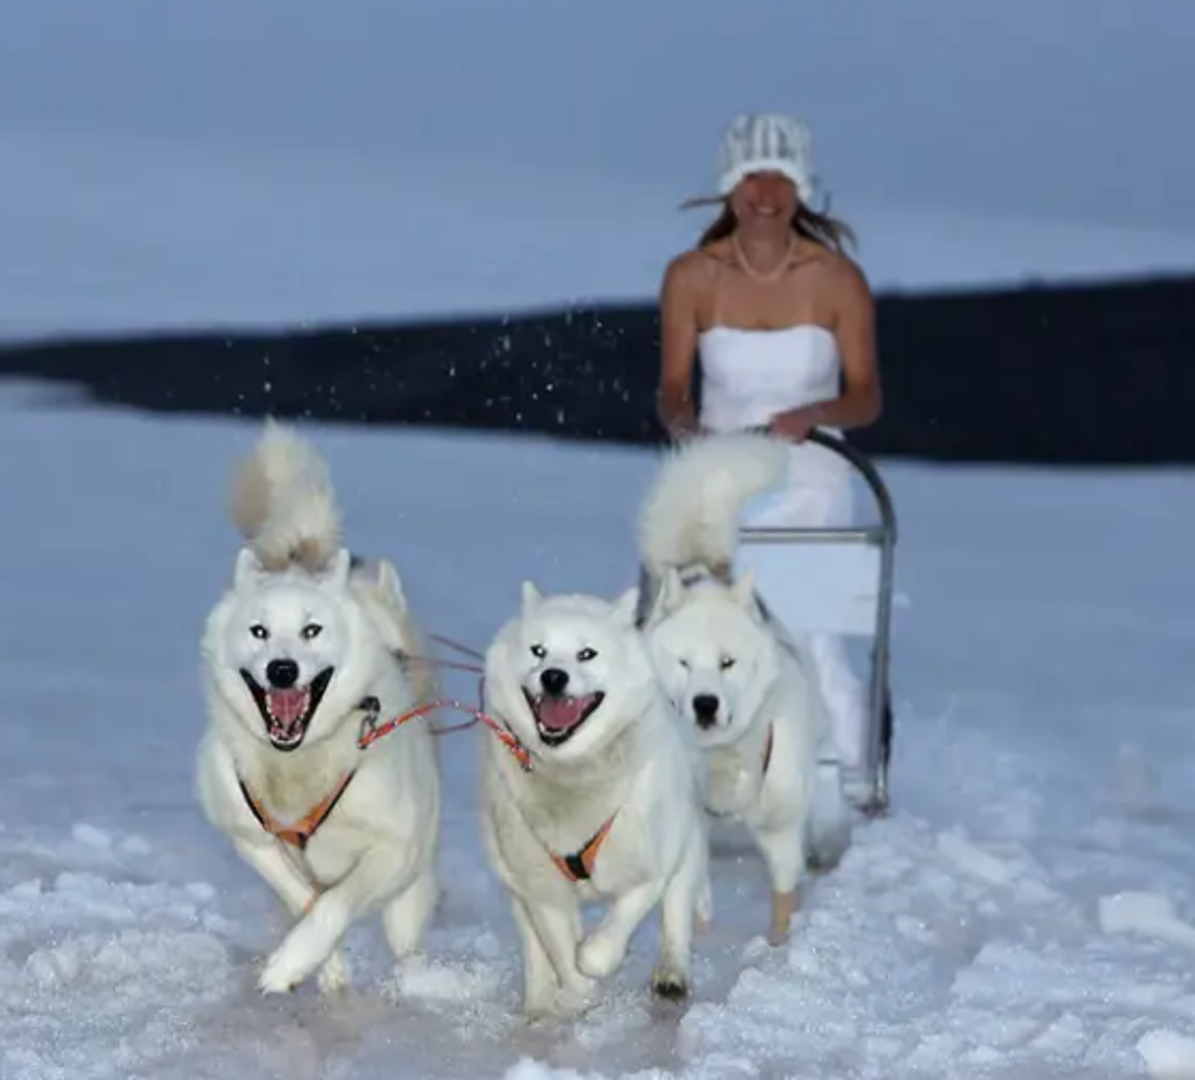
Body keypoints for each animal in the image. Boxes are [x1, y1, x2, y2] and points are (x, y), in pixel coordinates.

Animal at [193, 420, 442, 993]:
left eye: (312, 630)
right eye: (258, 631)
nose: (282, 670)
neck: (296, 765)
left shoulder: (392, 849)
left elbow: (334, 905)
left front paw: (291, 964)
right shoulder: (250, 836)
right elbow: (303, 898)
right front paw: (321, 966)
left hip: (411, 885)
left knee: (405, 935)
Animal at [480, 578, 712, 1017]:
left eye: (586, 653)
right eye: (538, 650)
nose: (553, 676)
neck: (572, 773)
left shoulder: (649, 869)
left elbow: (608, 937)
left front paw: (593, 961)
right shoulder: (541, 888)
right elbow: (559, 950)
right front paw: (577, 993)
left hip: (684, 845)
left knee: (676, 911)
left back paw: (672, 973)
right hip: (513, 879)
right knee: (535, 953)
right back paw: (538, 1006)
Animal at [640, 430, 855, 946]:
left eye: (727, 662)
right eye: (683, 662)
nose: (705, 704)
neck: (722, 761)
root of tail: (702, 567)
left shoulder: (781, 827)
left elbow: (783, 894)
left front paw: (777, 947)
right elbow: (692, 893)